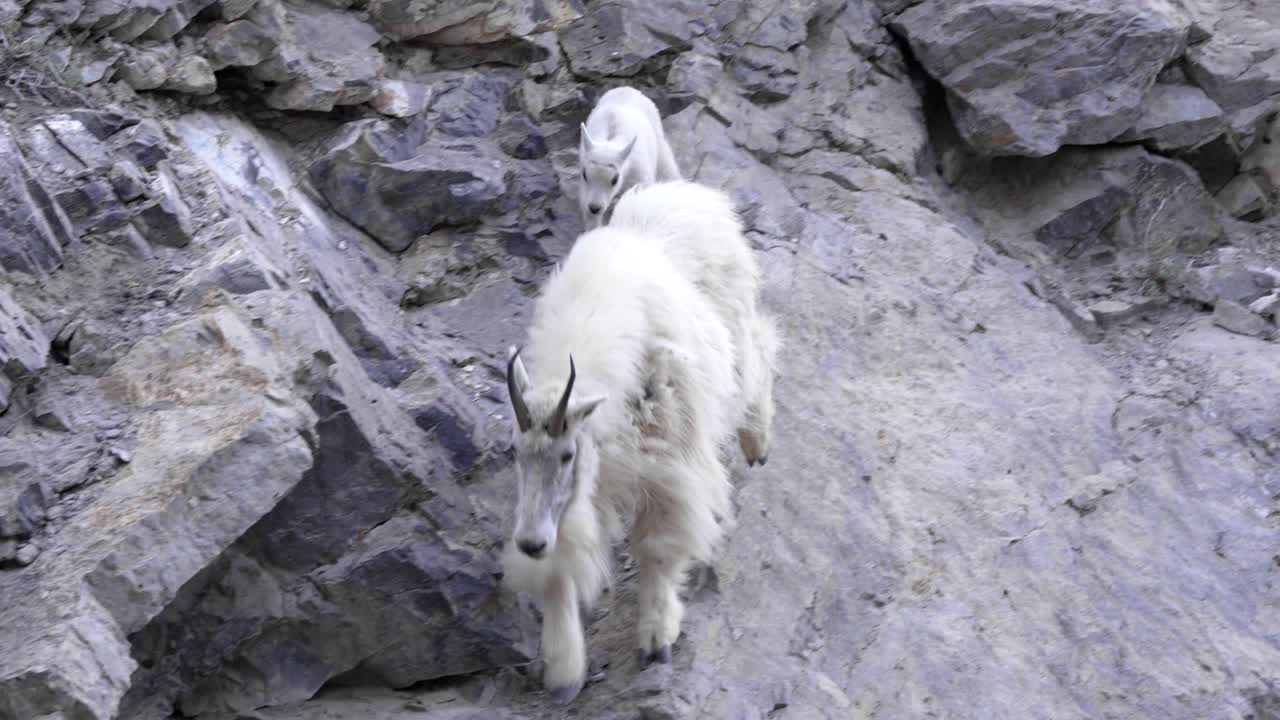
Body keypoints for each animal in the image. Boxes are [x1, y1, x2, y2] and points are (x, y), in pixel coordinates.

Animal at [501, 180, 778, 704]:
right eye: (516, 454)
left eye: (566, 454)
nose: (529, 542)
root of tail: (690, 190)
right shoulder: (587, 487)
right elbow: (563, 566)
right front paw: (564, 671)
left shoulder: (669, 462)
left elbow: (659, 547)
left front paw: (656, 638)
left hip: (737, 327)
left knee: (759, 355)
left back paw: (758, 441)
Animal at [578, 87, 681, 230]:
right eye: (585, 175)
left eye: (615, 180)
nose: (595, 208)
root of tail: (628, 89)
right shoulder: (585, 189)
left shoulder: (639, 176)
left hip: (658, 134)